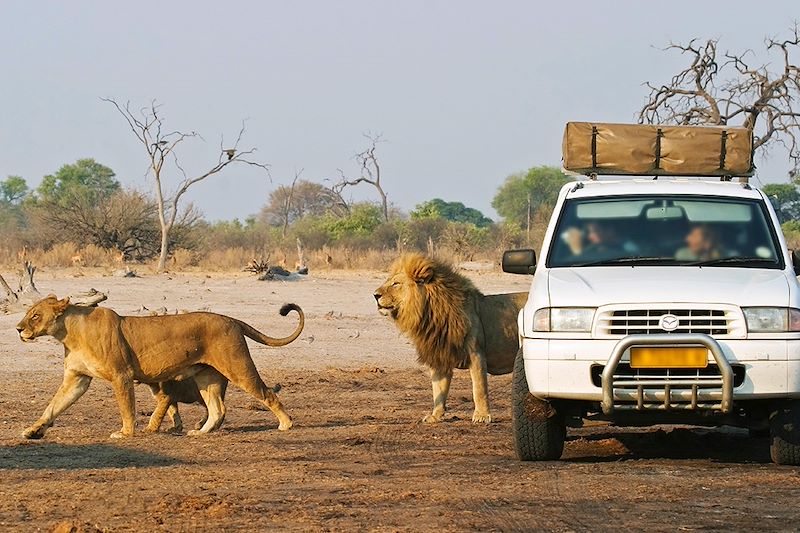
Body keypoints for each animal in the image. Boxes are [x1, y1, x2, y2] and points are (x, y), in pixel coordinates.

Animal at [15, 296, 304, 436]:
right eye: (28, 314)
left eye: (35, 316)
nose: (18, 329)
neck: (69, 333)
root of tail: (230, 318)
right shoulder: (77, 378)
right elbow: (53, 406)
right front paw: (33, 431)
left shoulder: (121, 375)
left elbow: (127, 408)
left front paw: (126, 433)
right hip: (207, 377)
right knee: (217, 409)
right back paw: (200, 432)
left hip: (237, 366)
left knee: (267, 394)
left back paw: (286, 424)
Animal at [374, 254, 528, 424]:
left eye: (396, 284)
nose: (375, 295)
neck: (431, 314)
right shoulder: (439, 356)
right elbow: (439, 389)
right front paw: (435, 415)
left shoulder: (476, 354)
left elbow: (479, 388)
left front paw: (481, 416)